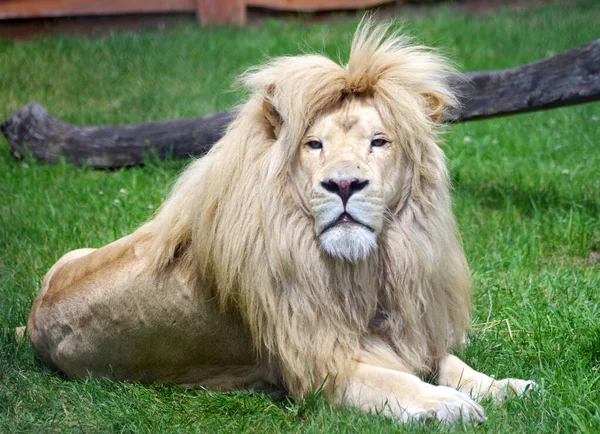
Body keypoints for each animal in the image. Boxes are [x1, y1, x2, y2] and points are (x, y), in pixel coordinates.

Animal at [27, 20, 536, 424]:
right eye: (314, 145)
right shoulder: (318, 368)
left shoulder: (409, 331)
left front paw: (508, 387)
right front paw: (448, 404)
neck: (367, 271)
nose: (344, 184)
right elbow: (398, 383)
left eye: (379, 141)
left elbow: (451, 363)